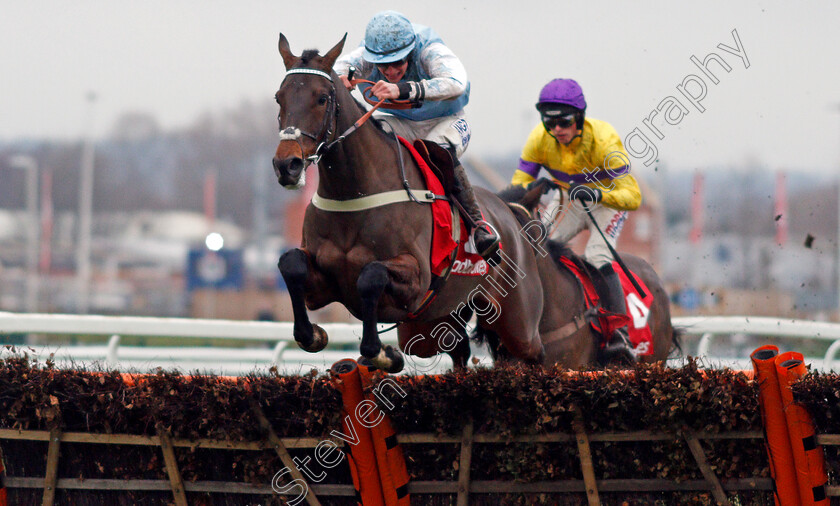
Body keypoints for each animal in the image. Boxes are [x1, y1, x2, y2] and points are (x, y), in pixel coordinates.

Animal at [270, 31, 544, 372]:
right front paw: (315, 335)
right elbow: (290, 263)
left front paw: (381, 353)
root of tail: (510, 215)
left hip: (519, 321)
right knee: (459, 350)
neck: (354, 196)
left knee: (537, 352)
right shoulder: (322, 287)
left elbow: (371, 275)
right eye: (279, 98)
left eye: (321, 98)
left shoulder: (417, 280)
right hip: (434, 325)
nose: (287, 165)